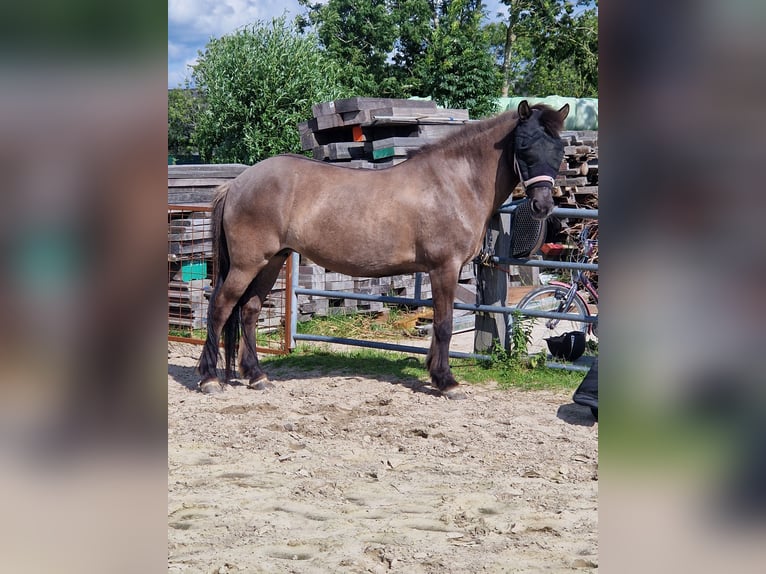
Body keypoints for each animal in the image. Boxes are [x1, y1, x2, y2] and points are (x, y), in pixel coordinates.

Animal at [197, 100, 569, 399]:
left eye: (560, 150)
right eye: (524, 146)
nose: (542, 206)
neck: (453, 183)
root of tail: (237, 184)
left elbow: (439, 324)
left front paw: (435, 373)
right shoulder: (444, 268)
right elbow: (445, 324)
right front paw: (446, 382)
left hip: (272, 261)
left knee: (249, 311)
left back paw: (256, 376)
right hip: (247, 264)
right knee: (220, 308)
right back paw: (209, 379)